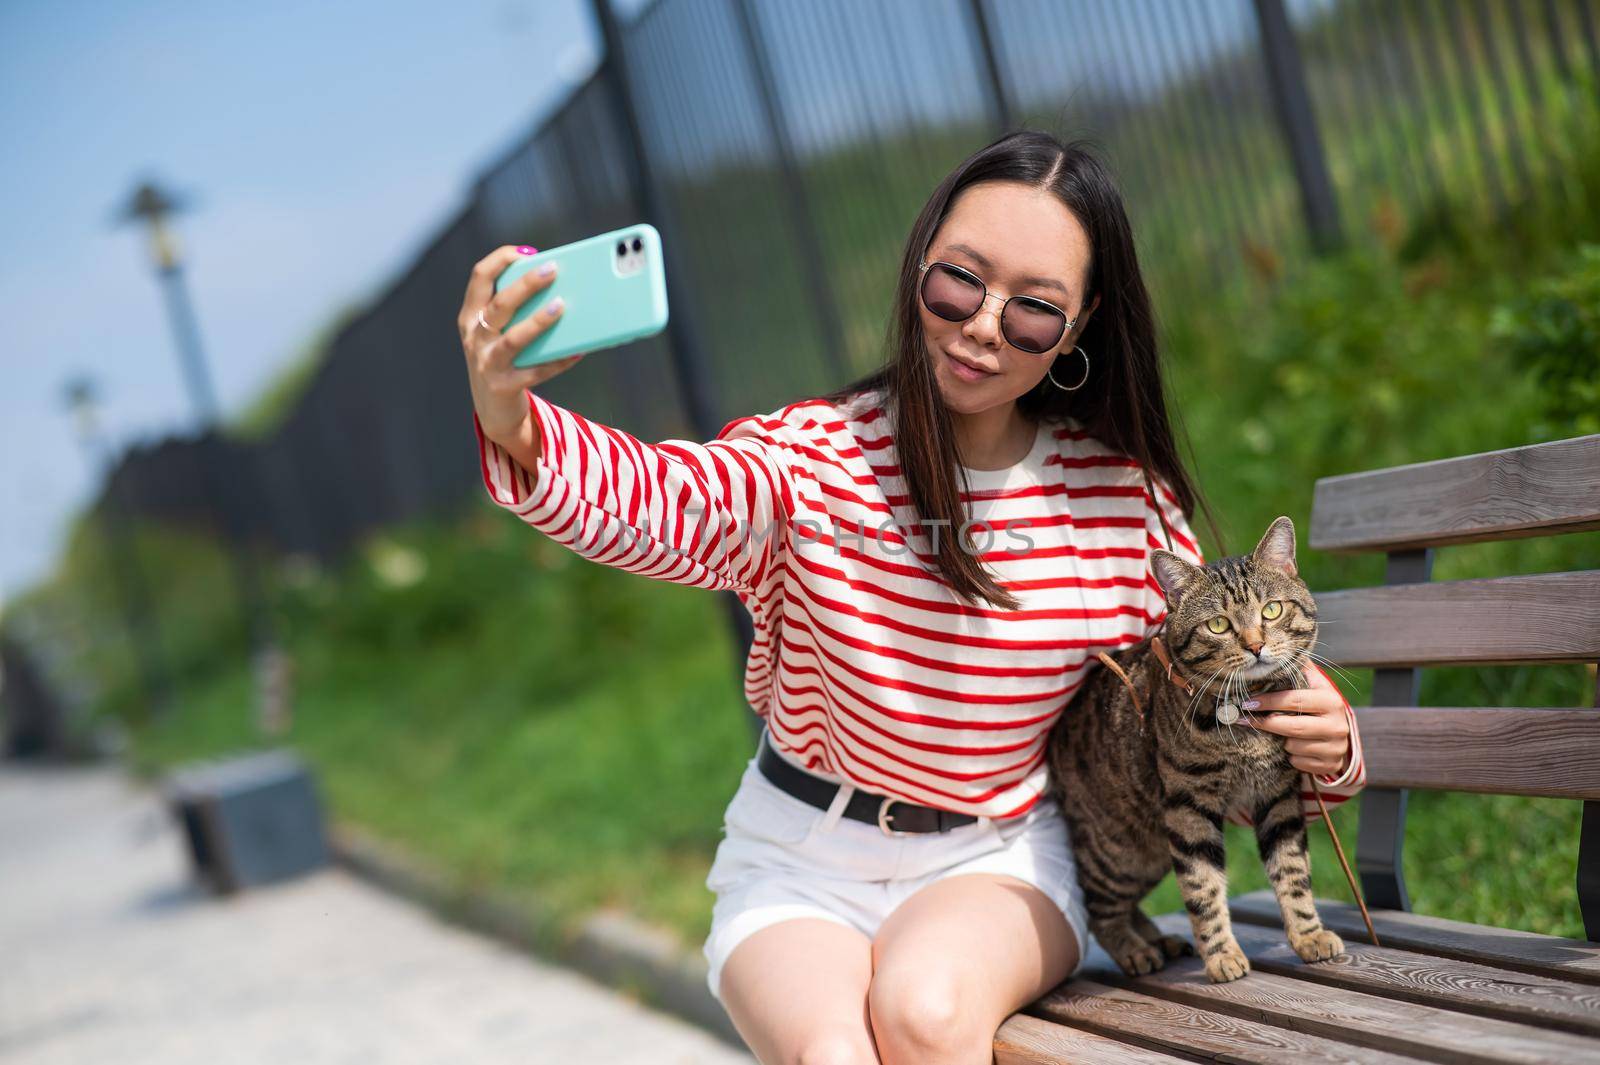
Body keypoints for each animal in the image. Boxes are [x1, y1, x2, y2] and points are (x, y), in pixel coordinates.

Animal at [1043, 511, 1344, 978]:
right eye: (1218, 624)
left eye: (1272, 610)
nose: (1256, 645)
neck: (1247, 722)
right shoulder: (1188, 808)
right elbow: (1202, 887)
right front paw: (1221, 955)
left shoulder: (1279, 796)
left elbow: (1292, 871)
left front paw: (1308, 934)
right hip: (1118, 850)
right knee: (1097, 909)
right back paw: (1137, 950)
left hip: (1147, 855)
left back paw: (1159, 940)